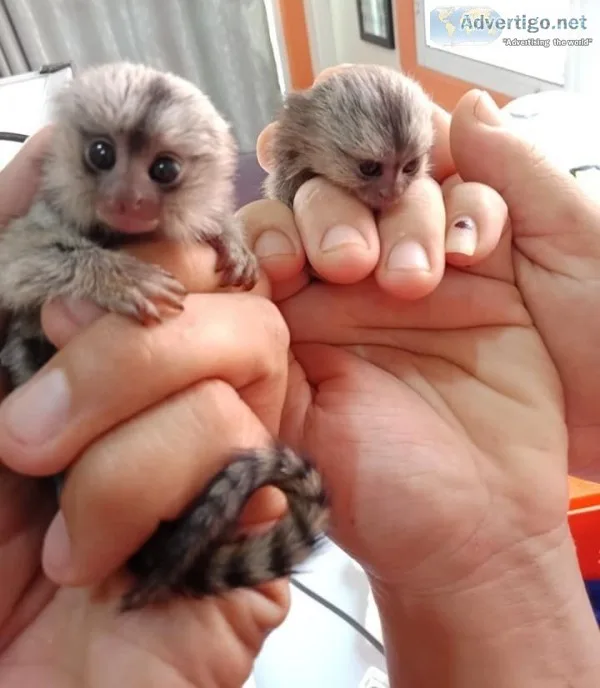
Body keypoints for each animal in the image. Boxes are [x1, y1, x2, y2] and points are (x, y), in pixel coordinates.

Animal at [0, 62, 329, 610]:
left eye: (164, 170)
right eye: (101, 154)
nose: (126, 198)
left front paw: (226, 236)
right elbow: (17, 265)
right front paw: (115, 276)